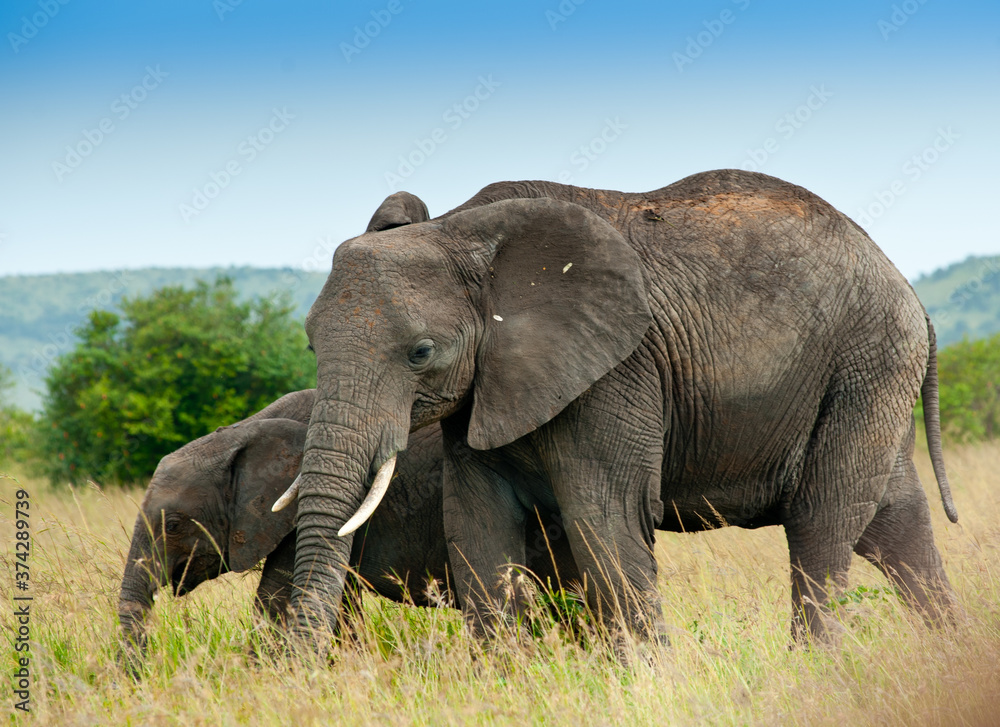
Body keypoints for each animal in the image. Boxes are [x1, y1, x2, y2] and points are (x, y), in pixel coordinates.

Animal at [117, 388, 572, 666]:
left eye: (174, 525)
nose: (138, 676)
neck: (240, 433)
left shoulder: (297, 519)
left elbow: (275, 602)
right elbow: (340, 604)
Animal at [282, 168, 959, 651]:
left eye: (421, 352)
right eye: (311, 345)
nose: (307, 664)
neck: (457, 230)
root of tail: (906, 285)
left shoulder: (615, 372)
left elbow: (602, 517)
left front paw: (648, 679)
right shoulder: (485, 388)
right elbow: (476, 526)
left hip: (865, 360)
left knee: (822, 520)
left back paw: (815, 668)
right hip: (868, 374)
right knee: (893, 522)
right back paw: (951, 652)